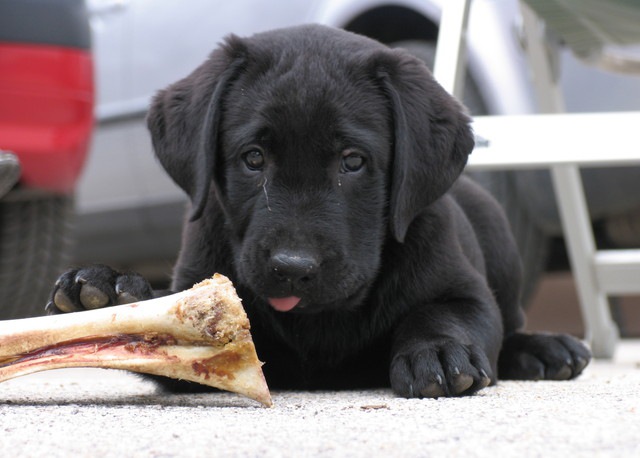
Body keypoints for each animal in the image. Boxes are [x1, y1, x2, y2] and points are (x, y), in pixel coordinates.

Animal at [48, 25, 592, 398]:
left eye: (352, 161)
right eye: (253, 158)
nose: (292, 268)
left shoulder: (466, 291)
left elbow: (447, 313)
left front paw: (438, 350)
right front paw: (105, 295)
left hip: (497, 233)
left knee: (513, 322)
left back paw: (546, 349)